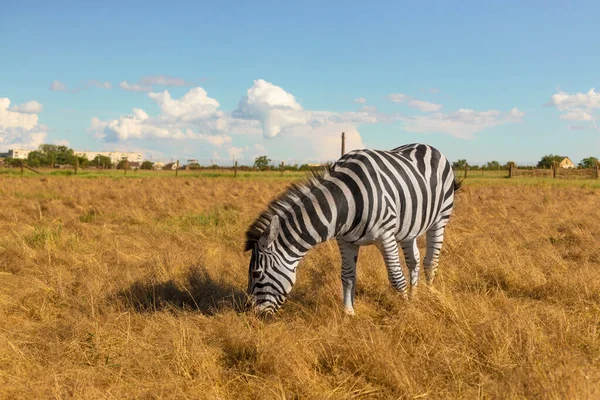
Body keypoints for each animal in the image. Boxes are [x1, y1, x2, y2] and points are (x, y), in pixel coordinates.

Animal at [246, 143, 462, 316]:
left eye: (256, 273)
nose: (251, 316)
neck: (345, 203)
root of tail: (428, 146)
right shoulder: (345, 240)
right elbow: (347, 276)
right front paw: (349, 313)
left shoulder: (386, 236)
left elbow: (396, 278)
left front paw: (406, 312)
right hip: (409, 228)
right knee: (414, 261)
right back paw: (414, 295)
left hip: (440, 219)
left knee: (430, 262)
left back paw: (429, 295)